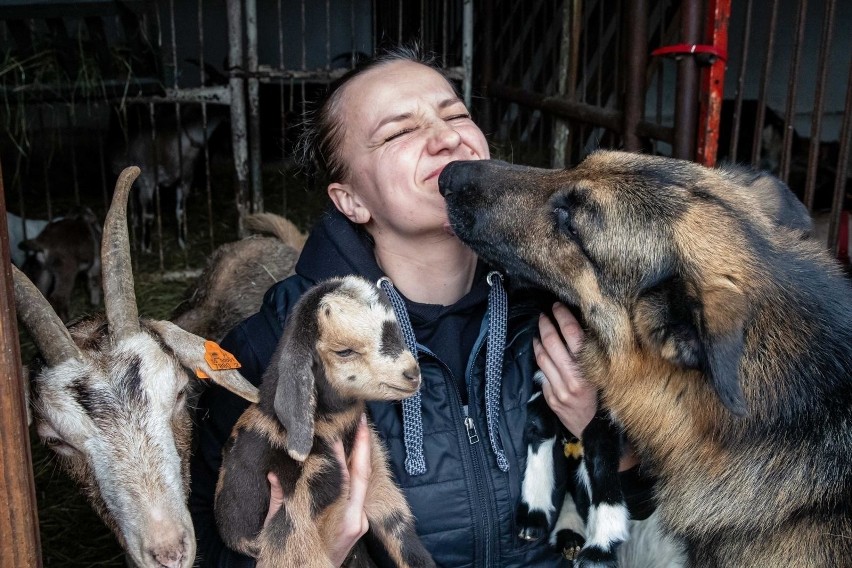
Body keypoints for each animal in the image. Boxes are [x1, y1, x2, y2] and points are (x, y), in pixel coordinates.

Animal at [215, 276, 440, 568]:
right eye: (344, 351)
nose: (412, 374)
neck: (333, 427)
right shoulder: (297, 506)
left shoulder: (377, 475)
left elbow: (401, 532)